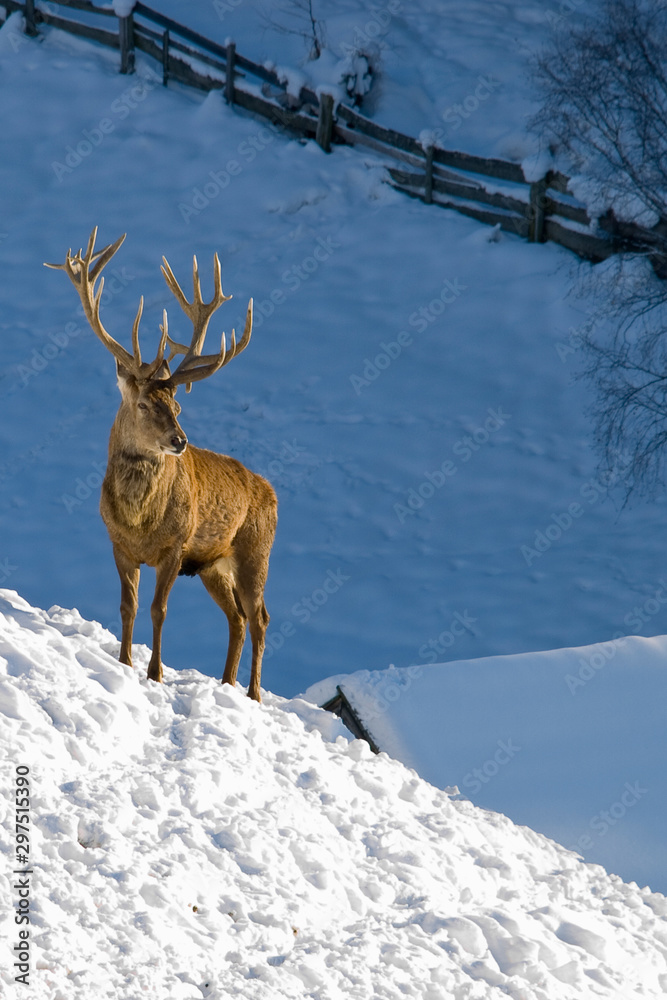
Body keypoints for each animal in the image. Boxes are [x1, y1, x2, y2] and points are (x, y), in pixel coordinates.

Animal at [45, 228, 277, 702]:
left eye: (177, 406)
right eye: (144, 403)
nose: (180, 441)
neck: (140, 521)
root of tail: (272, 492)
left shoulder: (176, 546)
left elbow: (159, 608)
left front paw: (154, 674)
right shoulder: (118, 544)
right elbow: (128, 605)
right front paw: (123, 663)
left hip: (254, 551)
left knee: (260, 617)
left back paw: (253, 695)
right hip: (212, 565)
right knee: (238, 617)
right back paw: (226, 683)